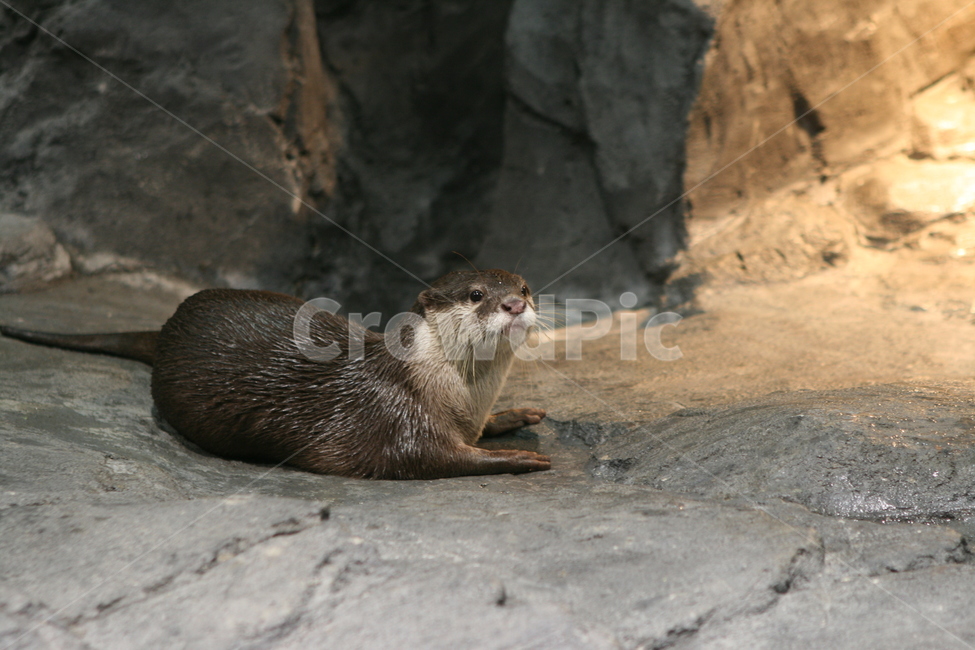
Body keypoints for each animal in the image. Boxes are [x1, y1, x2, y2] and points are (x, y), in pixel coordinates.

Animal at [0, 270, 550, 479]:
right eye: (476, 294)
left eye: (524, 285)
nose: (514, 302)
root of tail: (166, 328)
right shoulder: (394, 419)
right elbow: (430, 458)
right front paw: (518, 458)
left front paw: (514, 416)